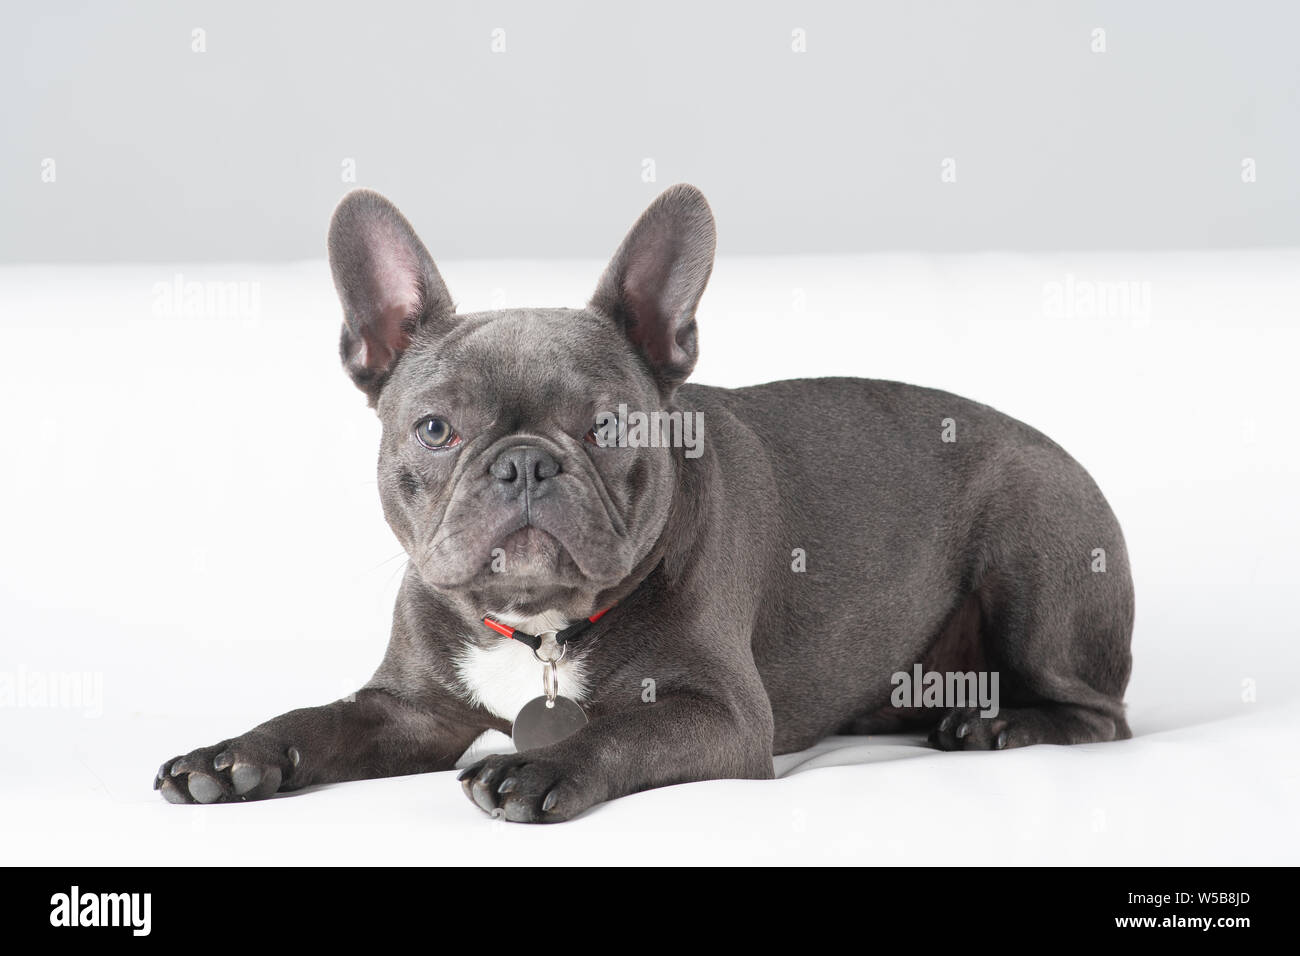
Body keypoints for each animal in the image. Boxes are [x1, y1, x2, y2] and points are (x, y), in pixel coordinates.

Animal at [152, 184, 1133, 822]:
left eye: (607, 426)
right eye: (435, 429)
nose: (523, 464)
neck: (540, 629)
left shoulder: (719, 715)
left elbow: (622, 731)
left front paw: (538, 765)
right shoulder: (407, 711)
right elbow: (316, 720)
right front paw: (232, 757)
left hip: (1036, 546)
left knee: (1097, 714)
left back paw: (992, 722)